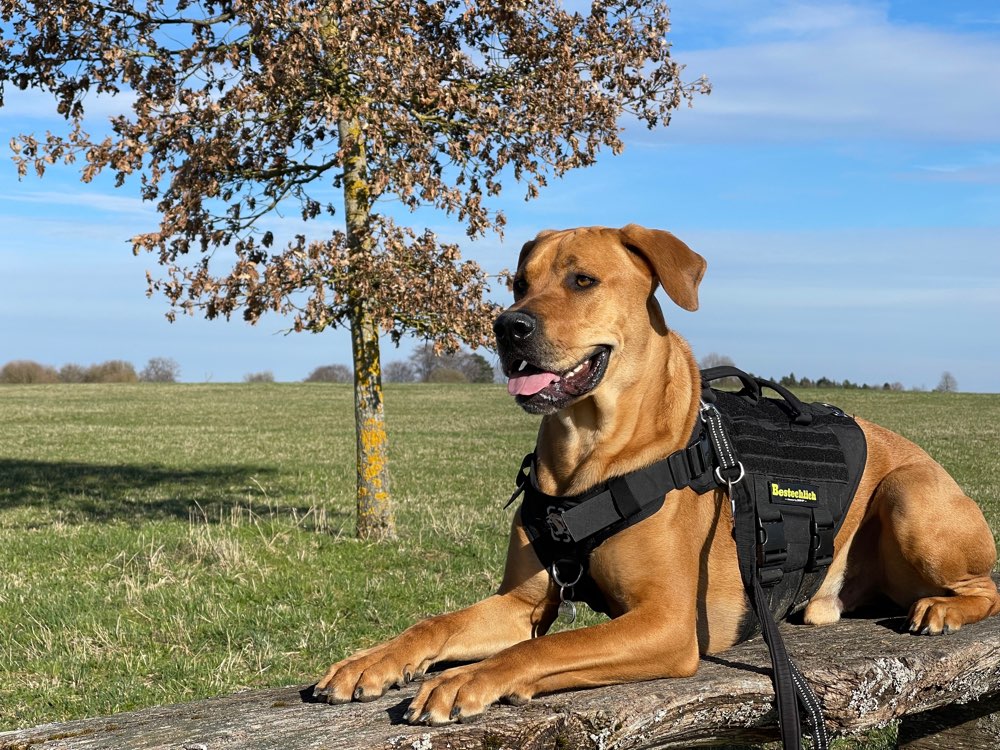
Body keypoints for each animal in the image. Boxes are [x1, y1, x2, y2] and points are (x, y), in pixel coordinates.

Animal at [314, 225, 1000, 728]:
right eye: (517, 283)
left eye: (582, 280)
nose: (508, 326)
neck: (587, 453)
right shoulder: (522, 603)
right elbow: (444, 623)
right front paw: (374, 661)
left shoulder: (668, 624)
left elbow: (543, 647)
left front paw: (465, 679)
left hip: (909, 494)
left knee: (985, 587)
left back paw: (942, 609)